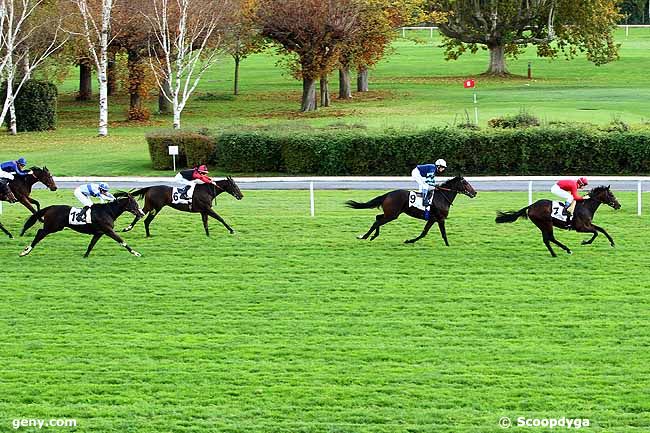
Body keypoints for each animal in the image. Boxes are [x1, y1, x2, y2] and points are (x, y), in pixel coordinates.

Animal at [344, 175, 476, 243]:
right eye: (465, 183)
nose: (475, 192)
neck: (441, 197)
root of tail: (388, 194)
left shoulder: (432, 219)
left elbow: (424, 233)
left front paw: (409, 241)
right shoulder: (440, 218)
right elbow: (443, 234)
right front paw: (448, 246)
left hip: (390, 213)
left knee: (378, 218)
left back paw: (372, 236)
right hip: (393, 214)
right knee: (378, 221)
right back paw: (364, 236)